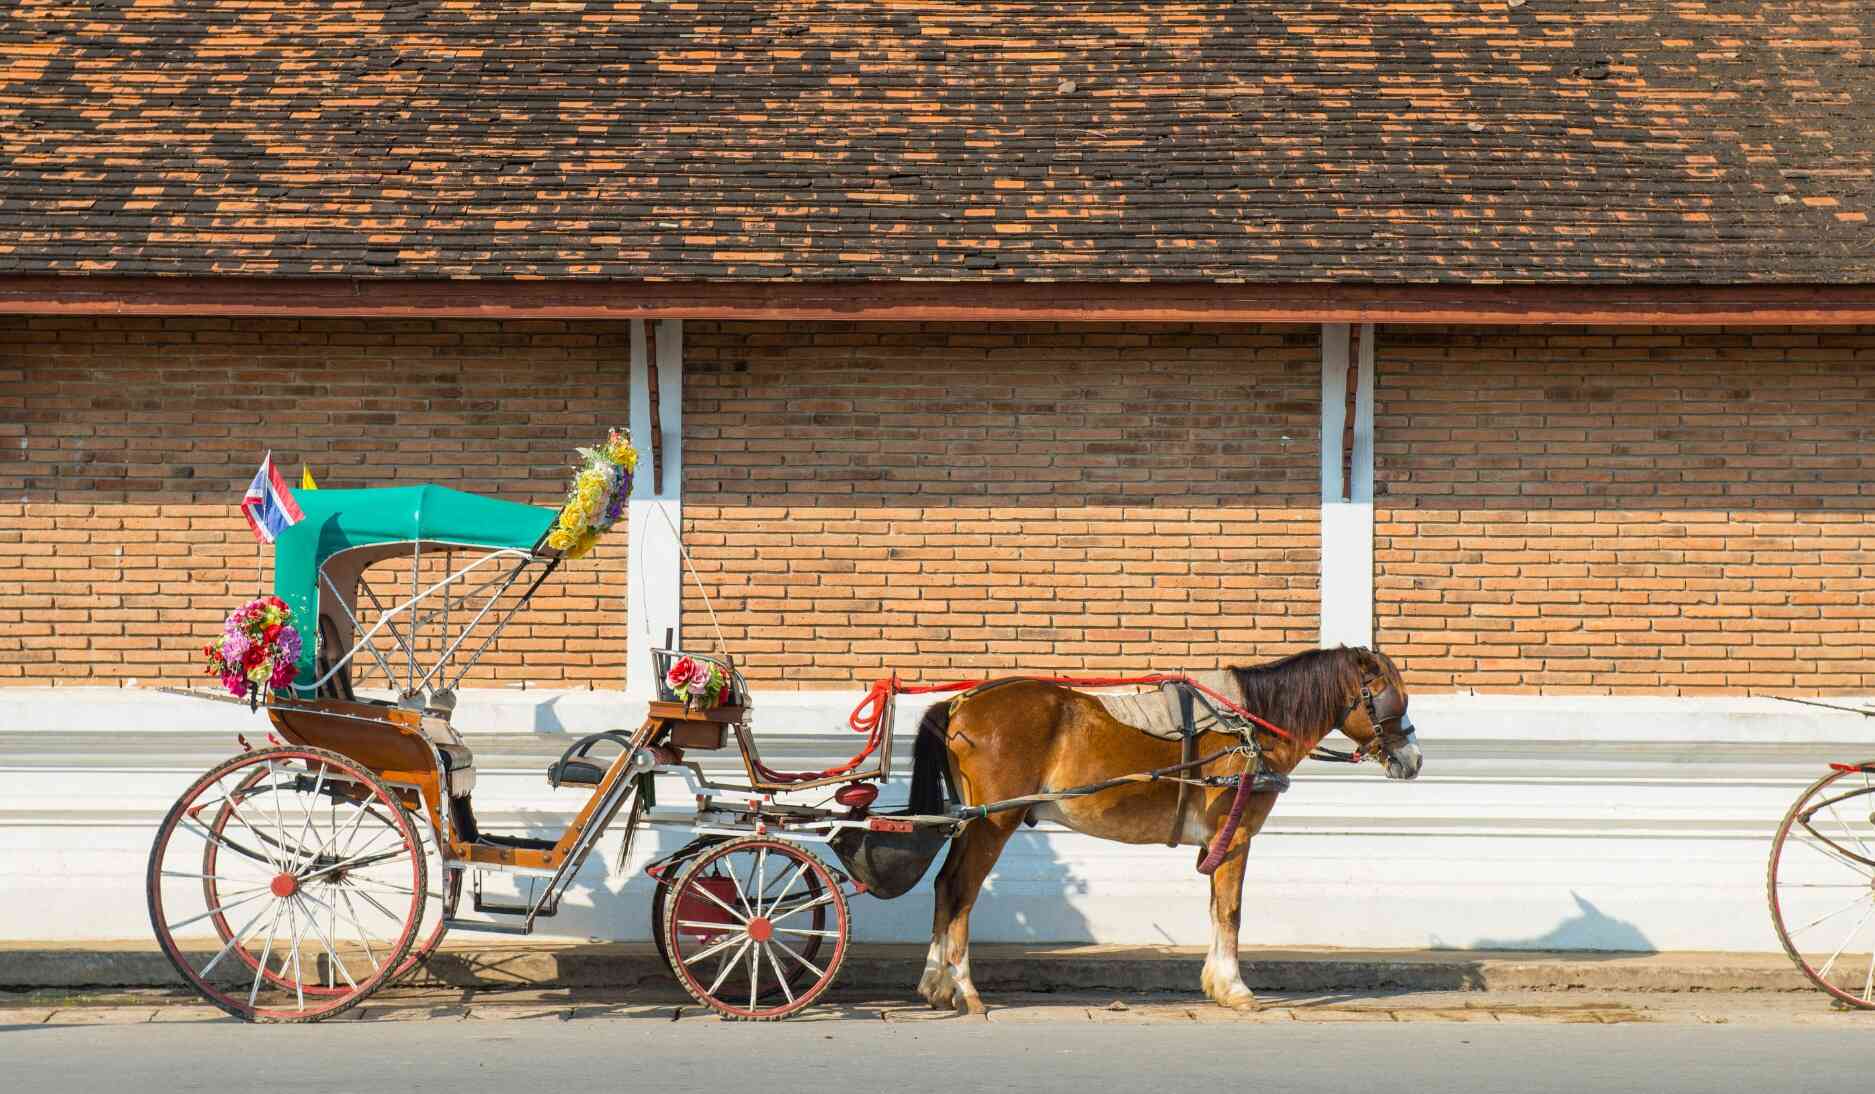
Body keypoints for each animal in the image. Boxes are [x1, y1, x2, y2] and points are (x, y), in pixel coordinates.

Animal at [900, 645, 1410, 1013]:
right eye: (1391, 696)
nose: (1414, 758)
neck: (1249, 728)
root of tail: (960, 703)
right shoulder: (1236, 835)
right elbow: (1231, 912)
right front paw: (1236, 988)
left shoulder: (1216, 842)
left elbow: (1216, 909)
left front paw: (1216, 982)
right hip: (993, 822)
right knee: (962, 891)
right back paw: (964, 988)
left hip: (971, 823)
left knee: (945, 885)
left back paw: (935, 983)